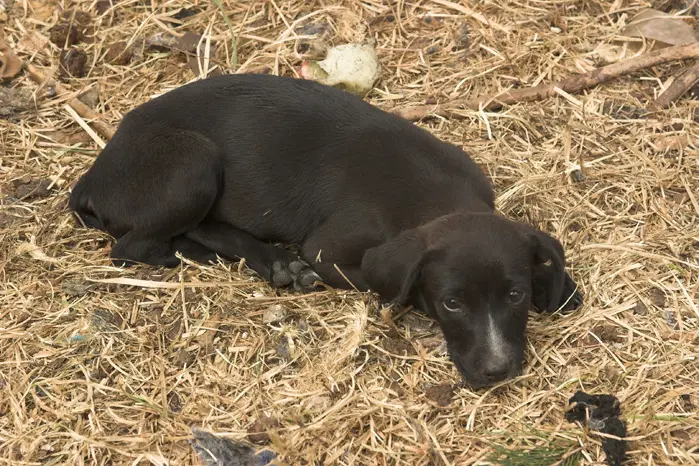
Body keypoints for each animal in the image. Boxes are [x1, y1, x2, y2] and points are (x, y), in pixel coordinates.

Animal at [69, 73, 584, 388]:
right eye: (451, 304)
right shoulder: (327, 252)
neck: (437, 192)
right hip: (192, 164)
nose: (498, 371)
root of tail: (95, 173)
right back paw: (267, 260)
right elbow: (385, 282)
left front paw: (559, 284)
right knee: (135, 247)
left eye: (515, 296)